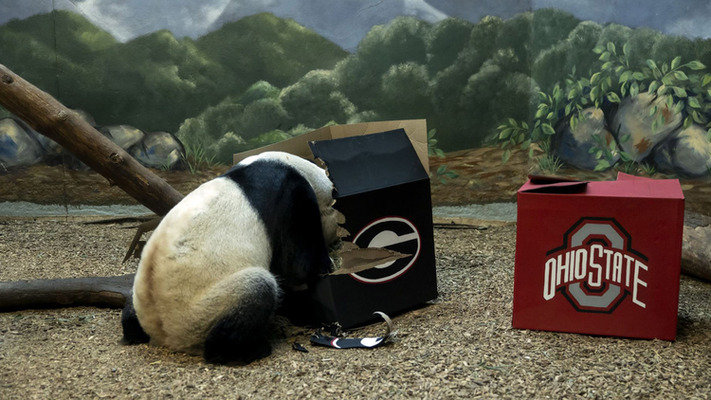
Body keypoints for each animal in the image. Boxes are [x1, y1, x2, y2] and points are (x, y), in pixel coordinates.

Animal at [121, 151, 341, 364]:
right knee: (257, 289)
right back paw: (250, 350)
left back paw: (132, 330)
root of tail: (161, 334)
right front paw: (325, 266)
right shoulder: (291, 198)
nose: (337, 242)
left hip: (142, 293)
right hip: (200, 308)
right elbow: (297, 265)